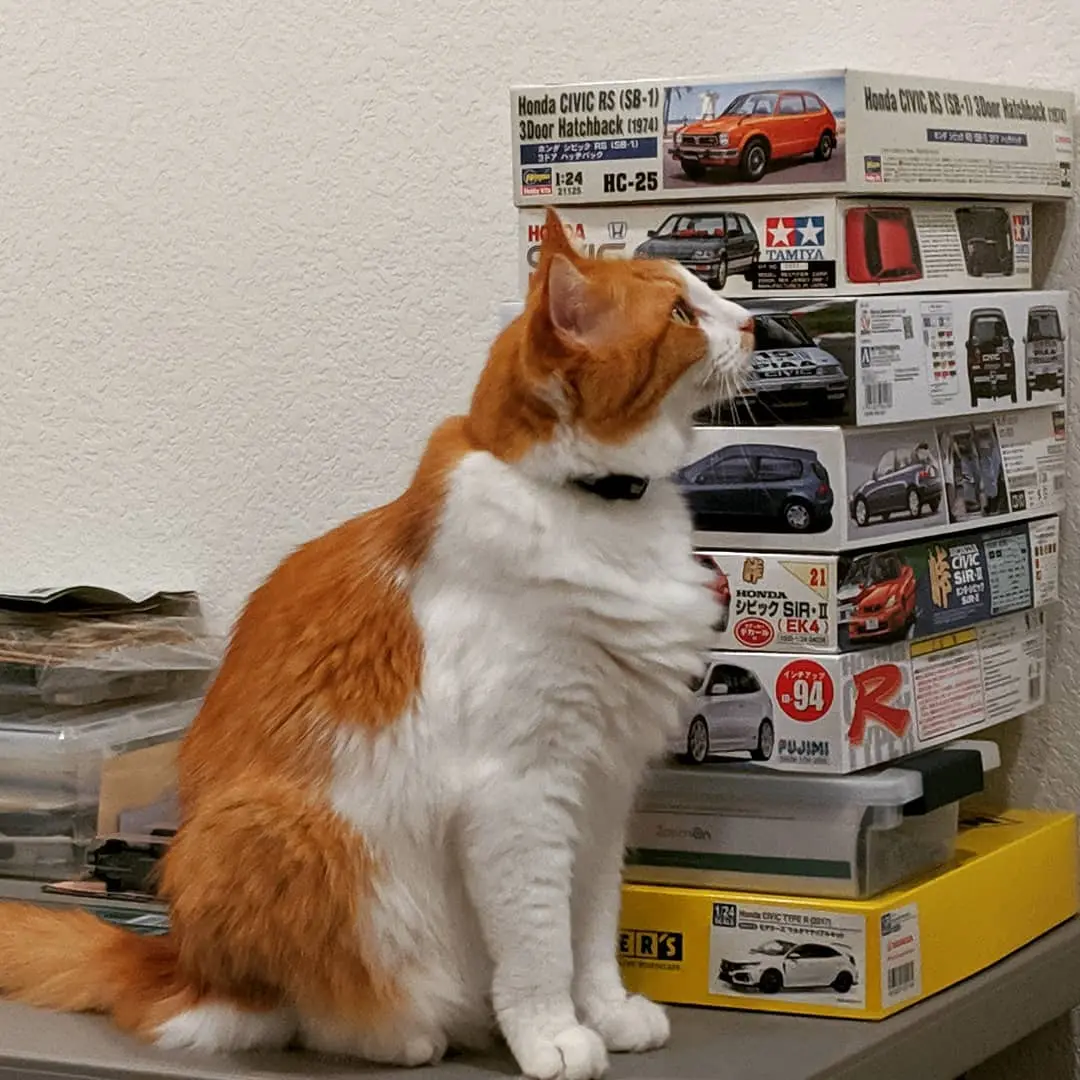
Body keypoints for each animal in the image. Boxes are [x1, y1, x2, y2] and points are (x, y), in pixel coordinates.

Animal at [0, 210, 751, 1080]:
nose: (753, 323)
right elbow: (539, 947)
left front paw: (607, 1012)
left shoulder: (601, 789)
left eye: (704, 293)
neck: (605, 514)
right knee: (277, 1014)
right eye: (682, 313)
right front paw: (552, 1037)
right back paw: (408, 1033)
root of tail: (171, 960)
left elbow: (592, 930)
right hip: (274, 833)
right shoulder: (522, 792)